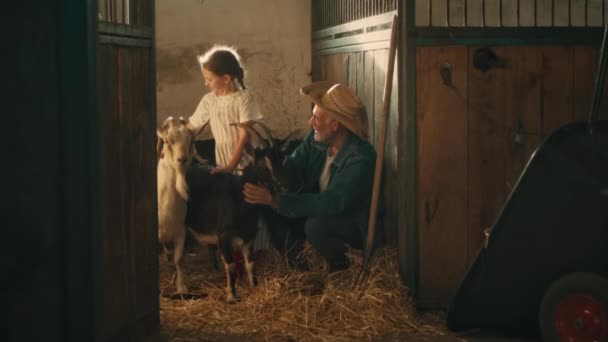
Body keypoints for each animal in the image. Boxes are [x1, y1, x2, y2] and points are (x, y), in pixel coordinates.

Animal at [156, 116, 205, 292]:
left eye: (191, 141)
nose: (182, 159)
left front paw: (181, 287)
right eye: (167, 140)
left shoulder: (181, 231)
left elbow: (179, 259)